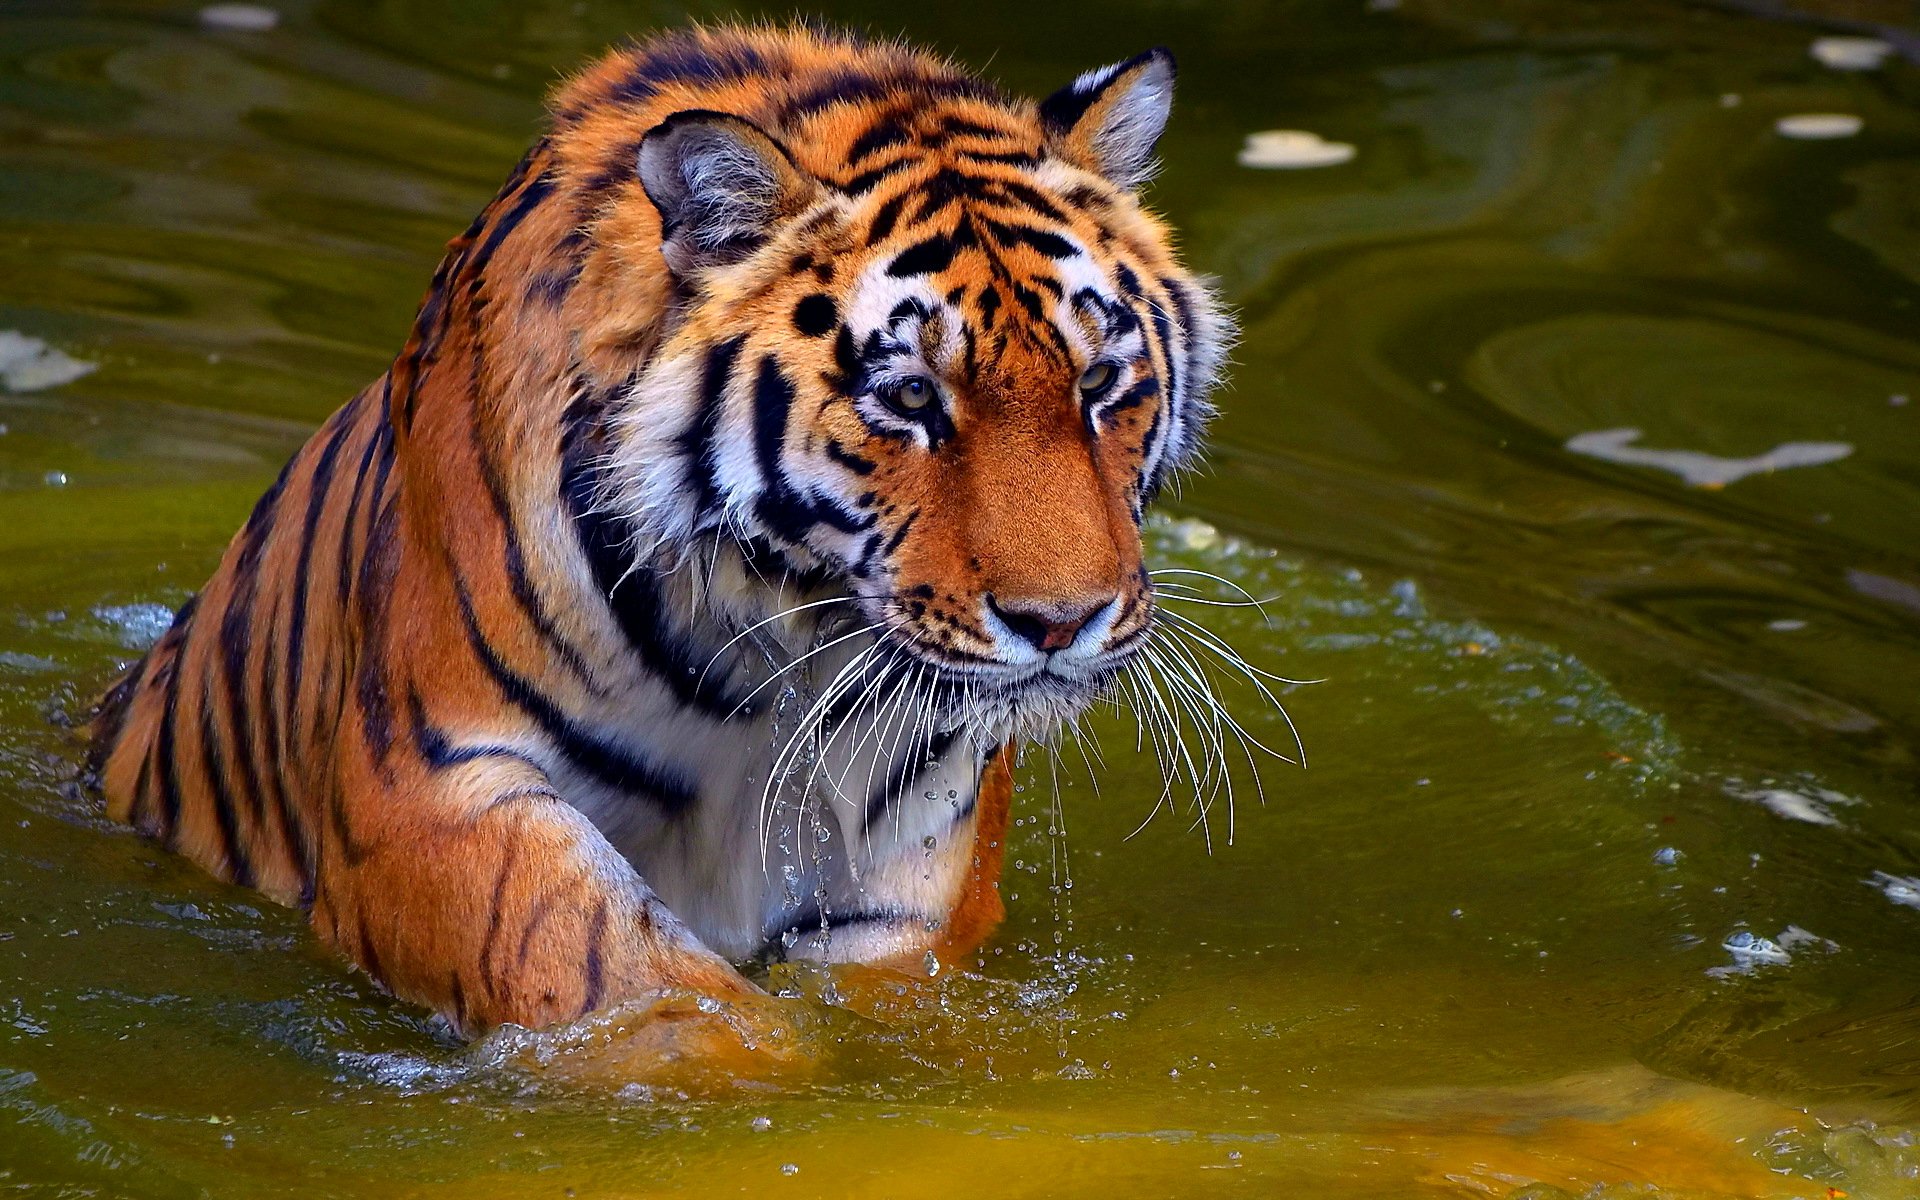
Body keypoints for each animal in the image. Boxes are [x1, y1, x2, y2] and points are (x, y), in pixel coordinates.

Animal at [85, 22, 1230, 1041]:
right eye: (908, 396)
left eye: (1100, 382)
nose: (1062, 624)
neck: (779, 641)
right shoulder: (427, 784)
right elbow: (612, 970)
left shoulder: (909, 854)